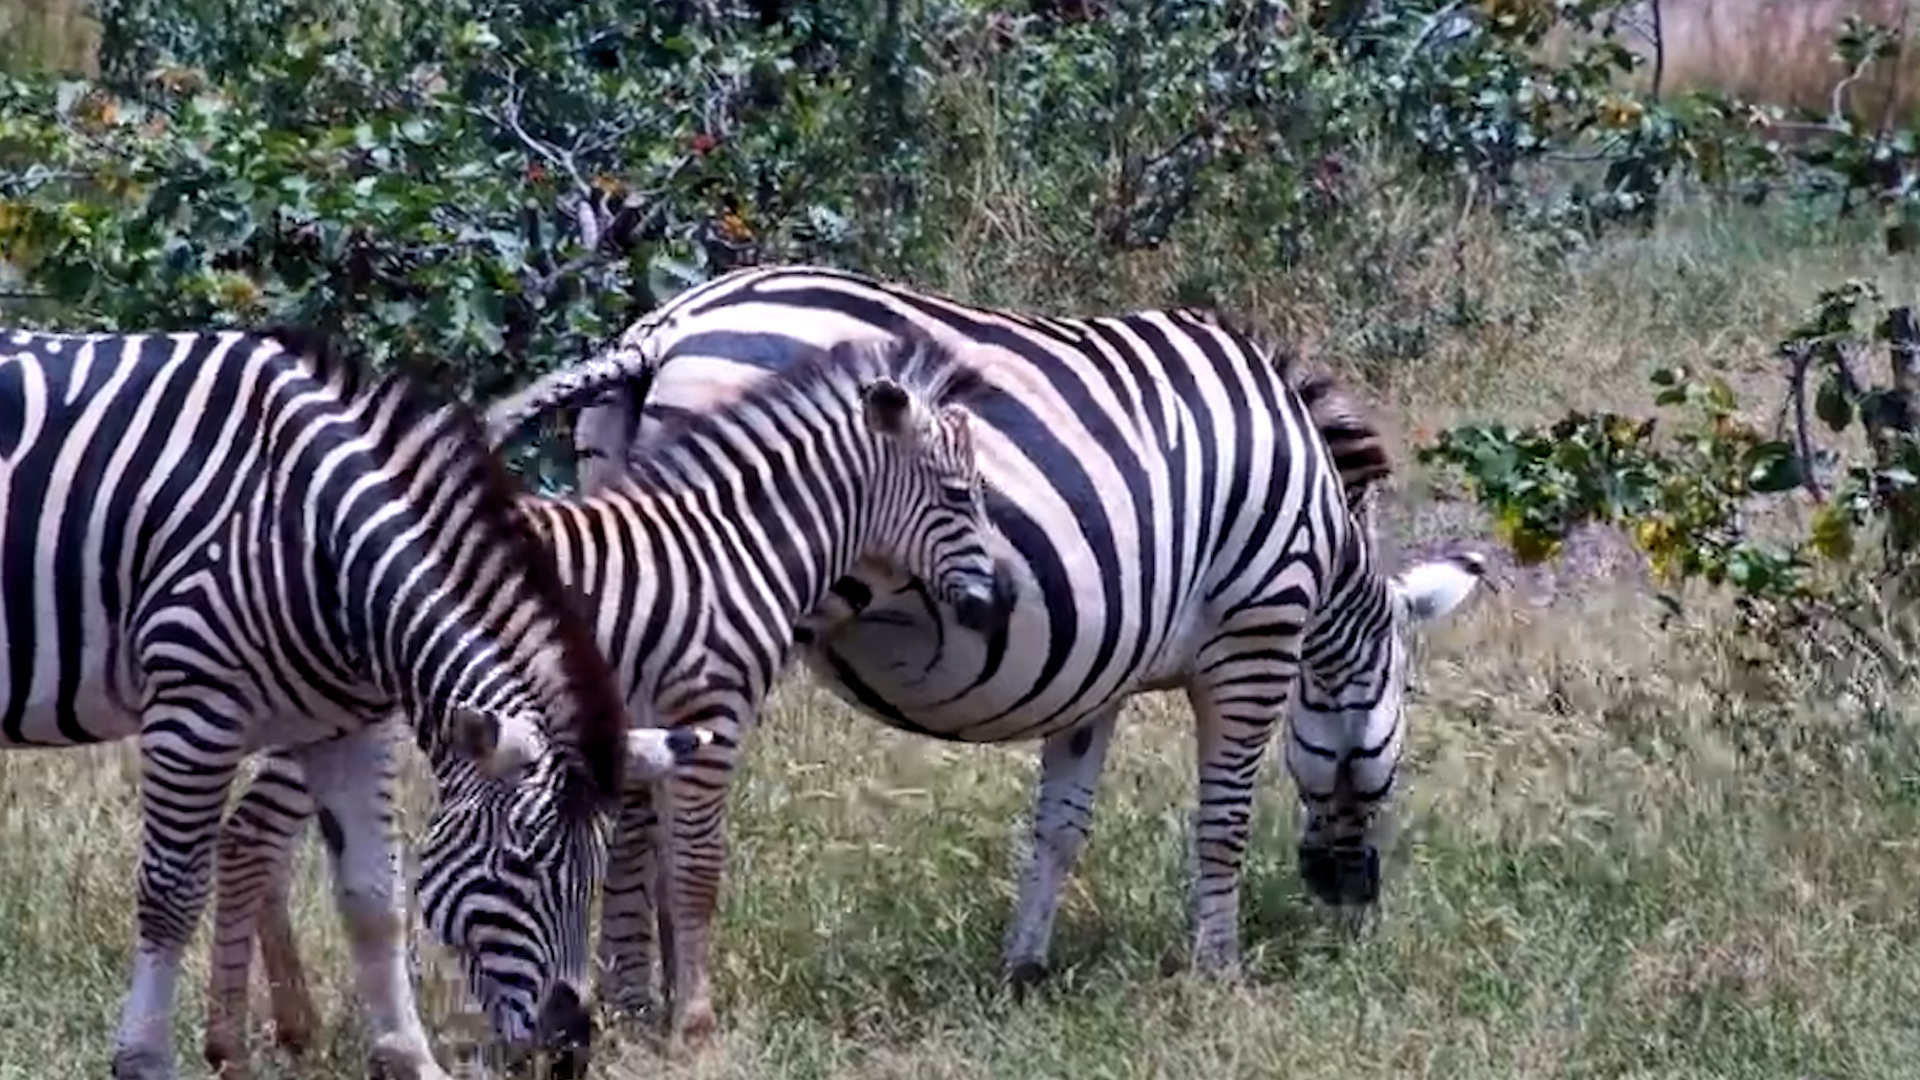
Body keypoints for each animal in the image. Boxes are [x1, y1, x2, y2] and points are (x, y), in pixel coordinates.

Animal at [0, 326, 708, 1080]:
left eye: (595, 873)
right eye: (520, 865)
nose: (568, 1053)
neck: (309, 531)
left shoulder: (351, 728)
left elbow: (374, 901)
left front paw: (411, 1060)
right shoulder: (194, 710)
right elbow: (170, 895)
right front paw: (143, 1059)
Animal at [187, 330, 1017, 1066]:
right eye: (960, 495)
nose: (1003, 602)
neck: (736, 551)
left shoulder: (647, 731)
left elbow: (646, 867)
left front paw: (648, 1012)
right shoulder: (709, 713)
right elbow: (697, 870)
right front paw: (694, 1029)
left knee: (255, 836)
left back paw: (290, 1030)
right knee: (254, 834)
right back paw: (249, 1039)